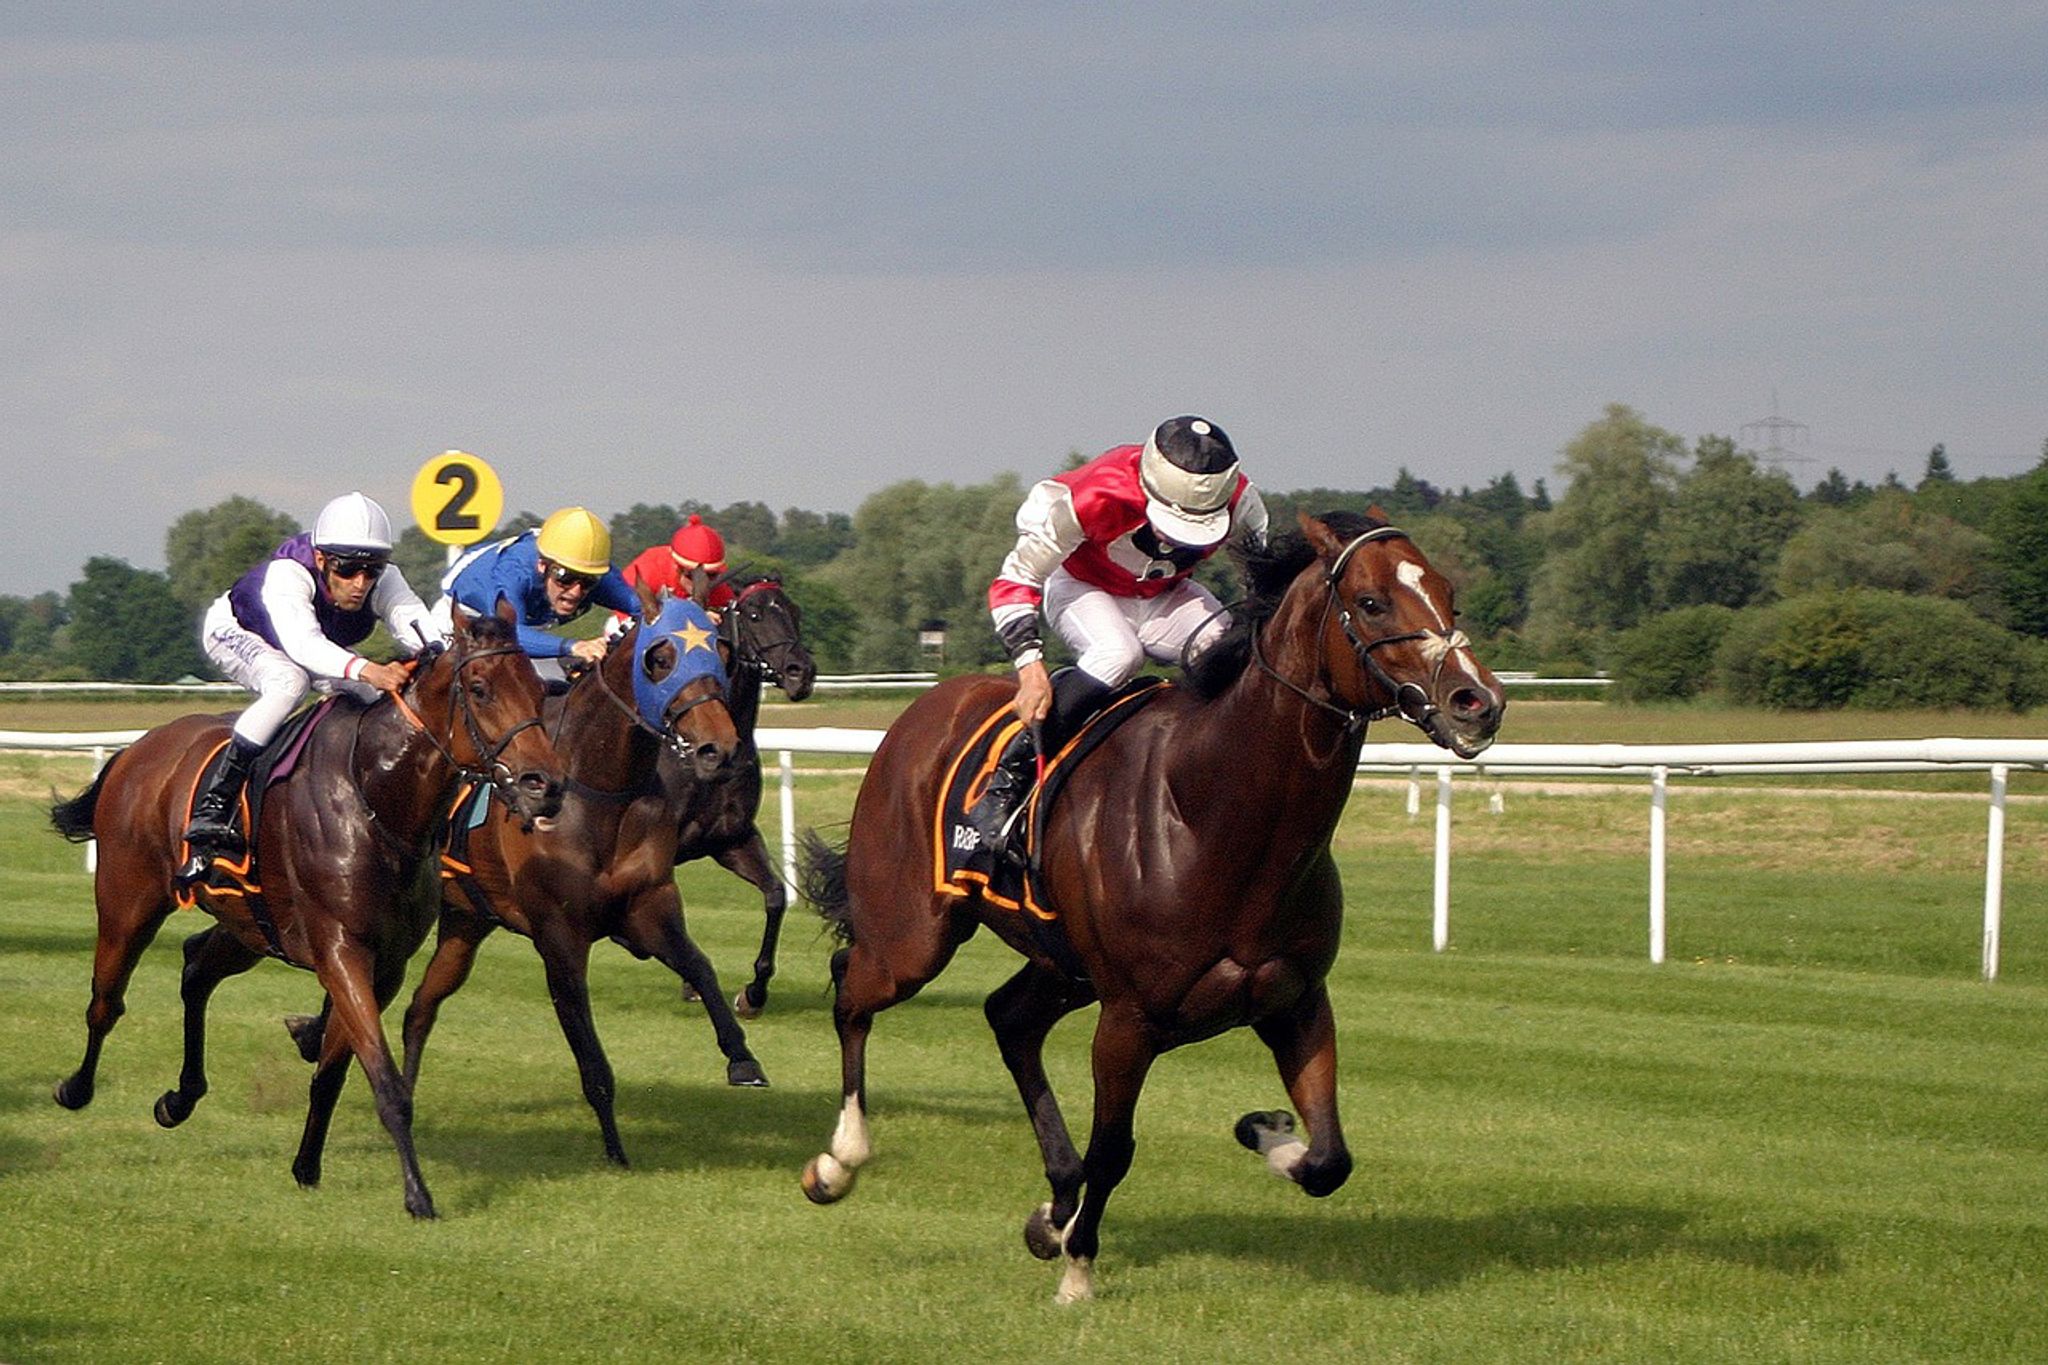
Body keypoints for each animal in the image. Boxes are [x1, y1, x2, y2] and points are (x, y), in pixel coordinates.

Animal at [49, 609, 561, 1219]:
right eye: (480, 689)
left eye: (539, 689)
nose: (546, 786)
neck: (377, 794)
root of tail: (137, 750)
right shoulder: (341, 951)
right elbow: (386, 1082)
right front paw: (418, 1195)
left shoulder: (383, 964)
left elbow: (333, 1072)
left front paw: (307, 1165)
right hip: (129, 901)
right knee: (106, 1000)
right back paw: (76, 1089)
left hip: (249, 924)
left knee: (196, 967)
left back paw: (180, 1098)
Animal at [798, 509, 1507, 1301]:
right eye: (1373, 602)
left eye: (1448, 593)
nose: (1478, 702)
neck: (1213, 810)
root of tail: (921, 708)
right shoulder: (1129, 1018)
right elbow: (1115, 1149)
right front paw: (1079, 1271)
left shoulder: (1296, 1000)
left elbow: (1330, 1158)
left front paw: (1265, 1131)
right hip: (912, 938)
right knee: (852, 987)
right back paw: (840, 1159)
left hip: (1063, 964)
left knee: (1009, 1017)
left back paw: (1053, 1205)